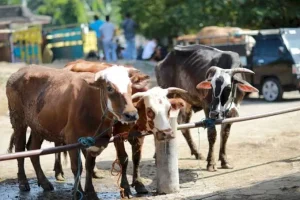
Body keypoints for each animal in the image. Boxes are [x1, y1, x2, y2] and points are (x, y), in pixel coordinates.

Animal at [5, 65, 139, 199]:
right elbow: (76, 167)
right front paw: (78, 192)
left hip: (38, 126)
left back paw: (44, 182)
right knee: (19, 149)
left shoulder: (92, 141)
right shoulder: (72, 139)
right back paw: (23, 182)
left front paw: (91, 192)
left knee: (33, 149)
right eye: (109, 88)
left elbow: (89, 166)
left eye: (130, 86)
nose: (131, 114)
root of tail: (21, 70)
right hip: (18, 120)